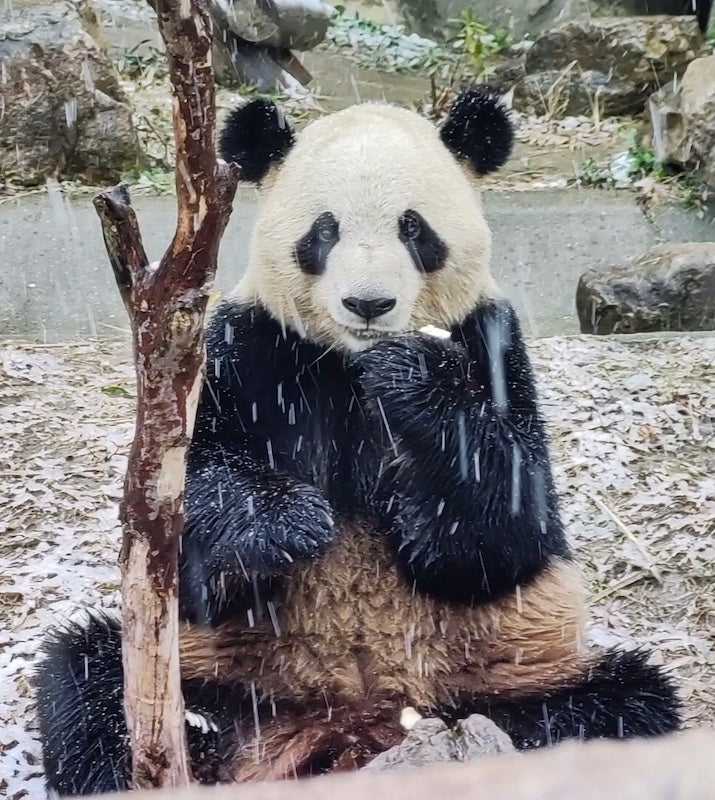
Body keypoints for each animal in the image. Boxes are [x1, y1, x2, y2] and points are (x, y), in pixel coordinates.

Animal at [35, 87, 684, 792]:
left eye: (413, 228)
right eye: (325, 231)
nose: (368, 305)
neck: (349, 364)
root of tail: (355, 726)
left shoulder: (493, 341)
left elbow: (509, 527)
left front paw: (414, 379)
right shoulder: (244, 348)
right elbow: (187, 527)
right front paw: (287, 521)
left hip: (515, 670)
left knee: (622, 704)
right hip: (221, 672)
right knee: (86, 677)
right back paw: (190, 739)